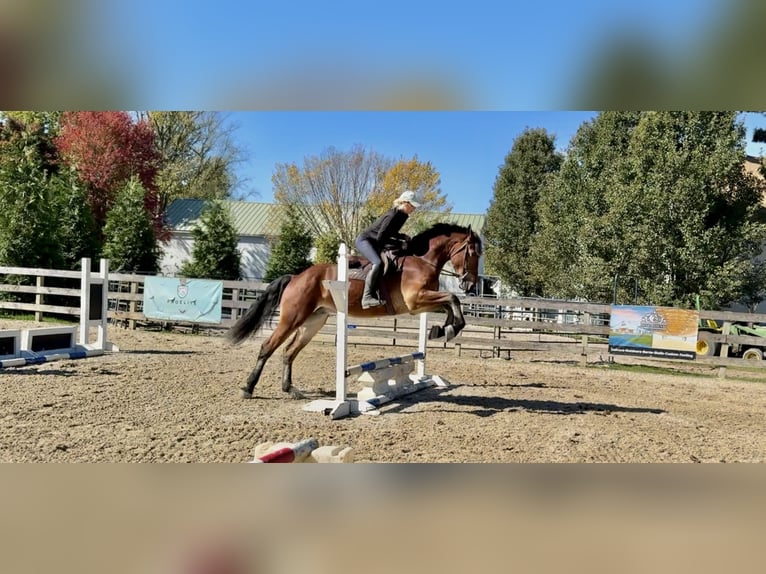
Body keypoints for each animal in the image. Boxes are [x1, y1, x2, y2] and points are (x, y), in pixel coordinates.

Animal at [226, 222, 482, 399]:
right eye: (473, 253)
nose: (470, 285)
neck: (422, 261)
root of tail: (296, 277)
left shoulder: (424, 301)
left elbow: (450, 303)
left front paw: (443, 329)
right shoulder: (415, 301)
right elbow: (452, 298)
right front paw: (449, 329)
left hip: (312, 322)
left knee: (289, 352)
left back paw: (290, 389)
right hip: (292, 318)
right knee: (267, 347)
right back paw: (248, 388)